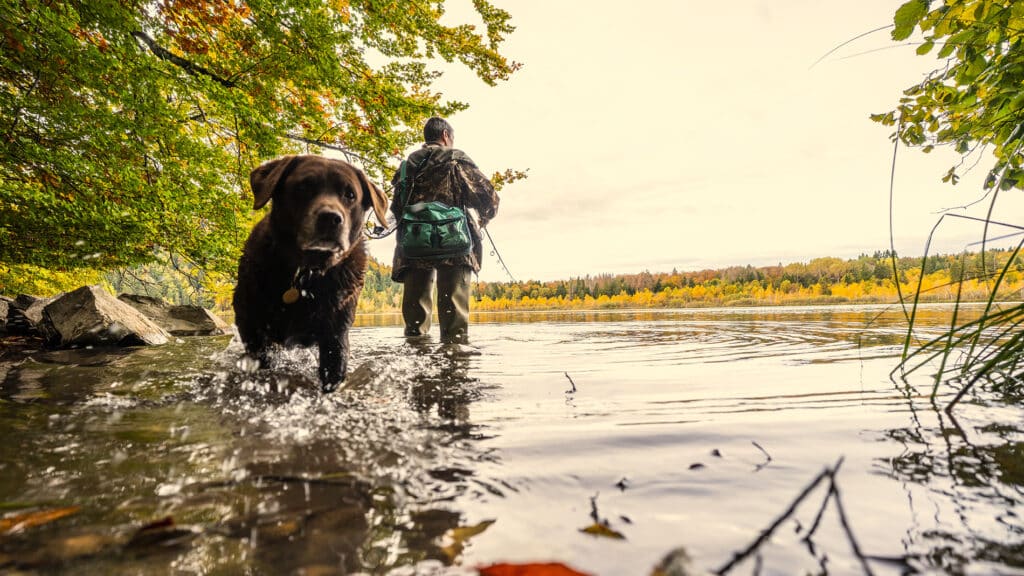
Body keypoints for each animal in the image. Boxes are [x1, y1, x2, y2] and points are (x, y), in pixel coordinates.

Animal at [232, 154, 387, 391]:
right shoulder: (251, 323)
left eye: (350, 194)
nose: (331, 218)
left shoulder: (336, 332)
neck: (306, 273)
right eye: (303, 187)